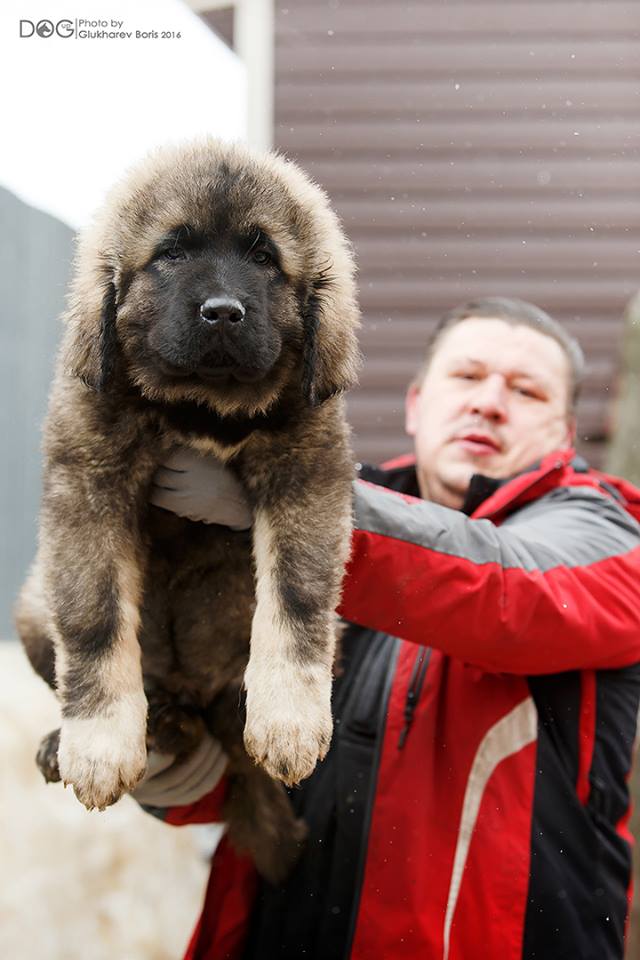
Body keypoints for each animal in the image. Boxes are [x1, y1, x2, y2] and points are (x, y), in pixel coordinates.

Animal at [16, 139, 360, 880]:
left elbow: (296, 602)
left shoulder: (308, 470)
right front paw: (98, 743)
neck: (200, 405)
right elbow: (94, 621)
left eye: (264, 257)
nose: (223, 311)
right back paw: (118, 731)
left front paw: (288, 718)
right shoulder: (88, 481)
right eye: (171, 252)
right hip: (32, 604)